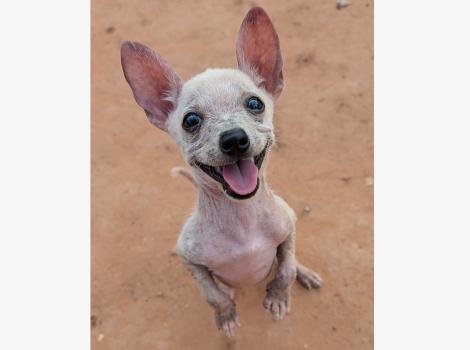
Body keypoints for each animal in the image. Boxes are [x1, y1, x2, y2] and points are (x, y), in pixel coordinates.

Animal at [119, 7, 322, 336]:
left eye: (254, 103)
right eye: (191, 121)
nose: (234, 139)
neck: (242, 221)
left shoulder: (289, 224)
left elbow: (286, 268)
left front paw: (279, 297)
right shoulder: (188, 258)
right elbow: (212, 294)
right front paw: (225, 315)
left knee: (290, 263)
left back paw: (306, 274)